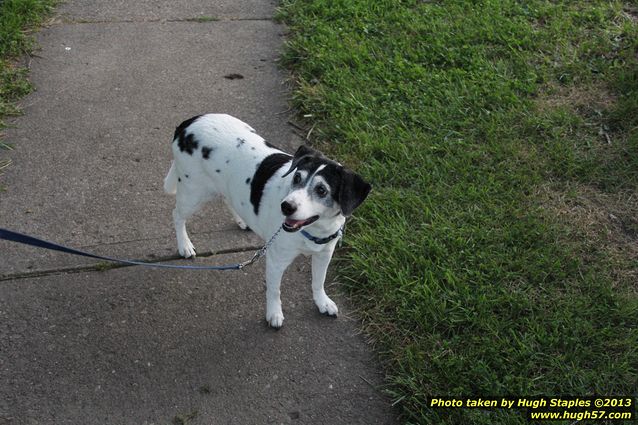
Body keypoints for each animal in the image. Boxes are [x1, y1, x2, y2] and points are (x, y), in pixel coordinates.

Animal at [165, 113, 372, 328]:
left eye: (322, 190)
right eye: (297, 177)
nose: (286, 206)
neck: (314, 230)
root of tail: (188, 123)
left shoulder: (324, 254)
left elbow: (318, 281)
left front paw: (322, 302)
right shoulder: (275, 261)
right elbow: (274, 290)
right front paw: (274, 314)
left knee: (227, 198)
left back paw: (242, 220)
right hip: (193, 193)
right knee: (177, 215)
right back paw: (184, 245)